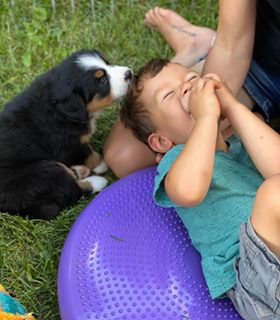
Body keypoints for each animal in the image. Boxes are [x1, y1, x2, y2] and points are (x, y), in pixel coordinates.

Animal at [0, 49, 133, 220]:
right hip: (46, 171)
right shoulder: (70, 144)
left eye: (107, 63)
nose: (129, 73)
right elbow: (90, 155)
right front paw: (102, 164)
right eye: (102, 81)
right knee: (71, 191)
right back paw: (96, 181)